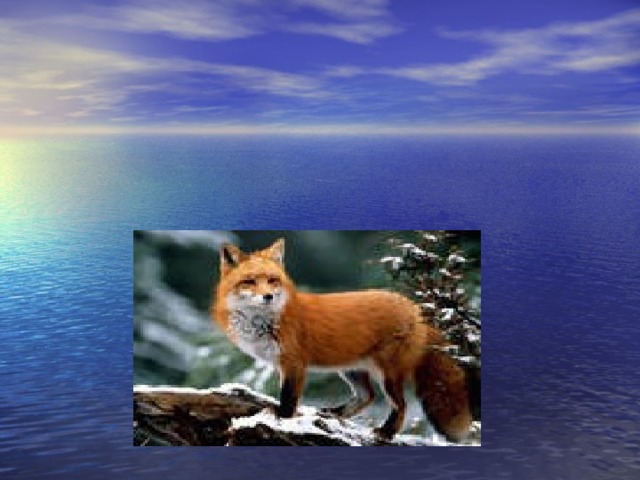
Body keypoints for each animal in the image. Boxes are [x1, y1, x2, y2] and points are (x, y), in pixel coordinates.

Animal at [212, 238, 472, 442]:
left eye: (273, 280)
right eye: (249, 281)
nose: (268, 296)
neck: (264, 322)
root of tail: (415, 307)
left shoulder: (294, 363)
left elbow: (288, 399)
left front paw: (282, 421)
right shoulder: (282, 364)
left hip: (387, 373)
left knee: (401, 405)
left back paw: (386, 432)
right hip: (352, 370)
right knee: (367, 397)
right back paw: (332, 415)